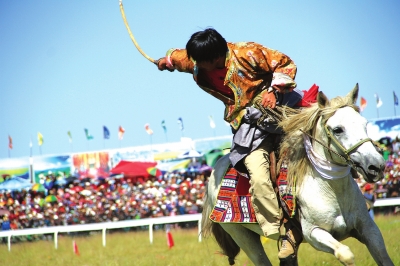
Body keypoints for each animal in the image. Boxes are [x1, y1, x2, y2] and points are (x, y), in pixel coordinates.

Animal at [202, 85, 392, 266]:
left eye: (365, 124)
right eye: (338, 129)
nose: (376, 165)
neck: (331, 191)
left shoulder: (368, 229)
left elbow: (383, 257)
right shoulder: (313, 233)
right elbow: (345, 254)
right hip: (242, 235)